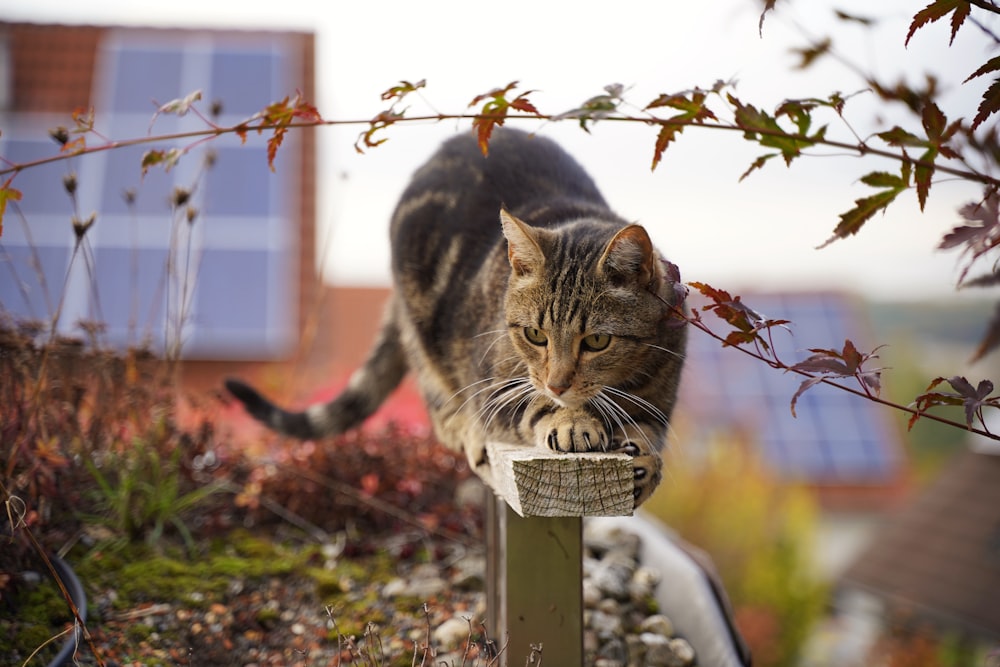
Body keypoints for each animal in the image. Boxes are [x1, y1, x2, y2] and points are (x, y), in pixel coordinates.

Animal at [225, 129, 688, 506]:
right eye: (535, 335)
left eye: (596, 341)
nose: (558, 384)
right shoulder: (496, 388)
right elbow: (532, 405)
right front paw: (572, 420)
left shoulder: (658, 399)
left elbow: (649, 432)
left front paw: (645, 462)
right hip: (422, 328)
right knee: (439, 400)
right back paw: (465, 428)